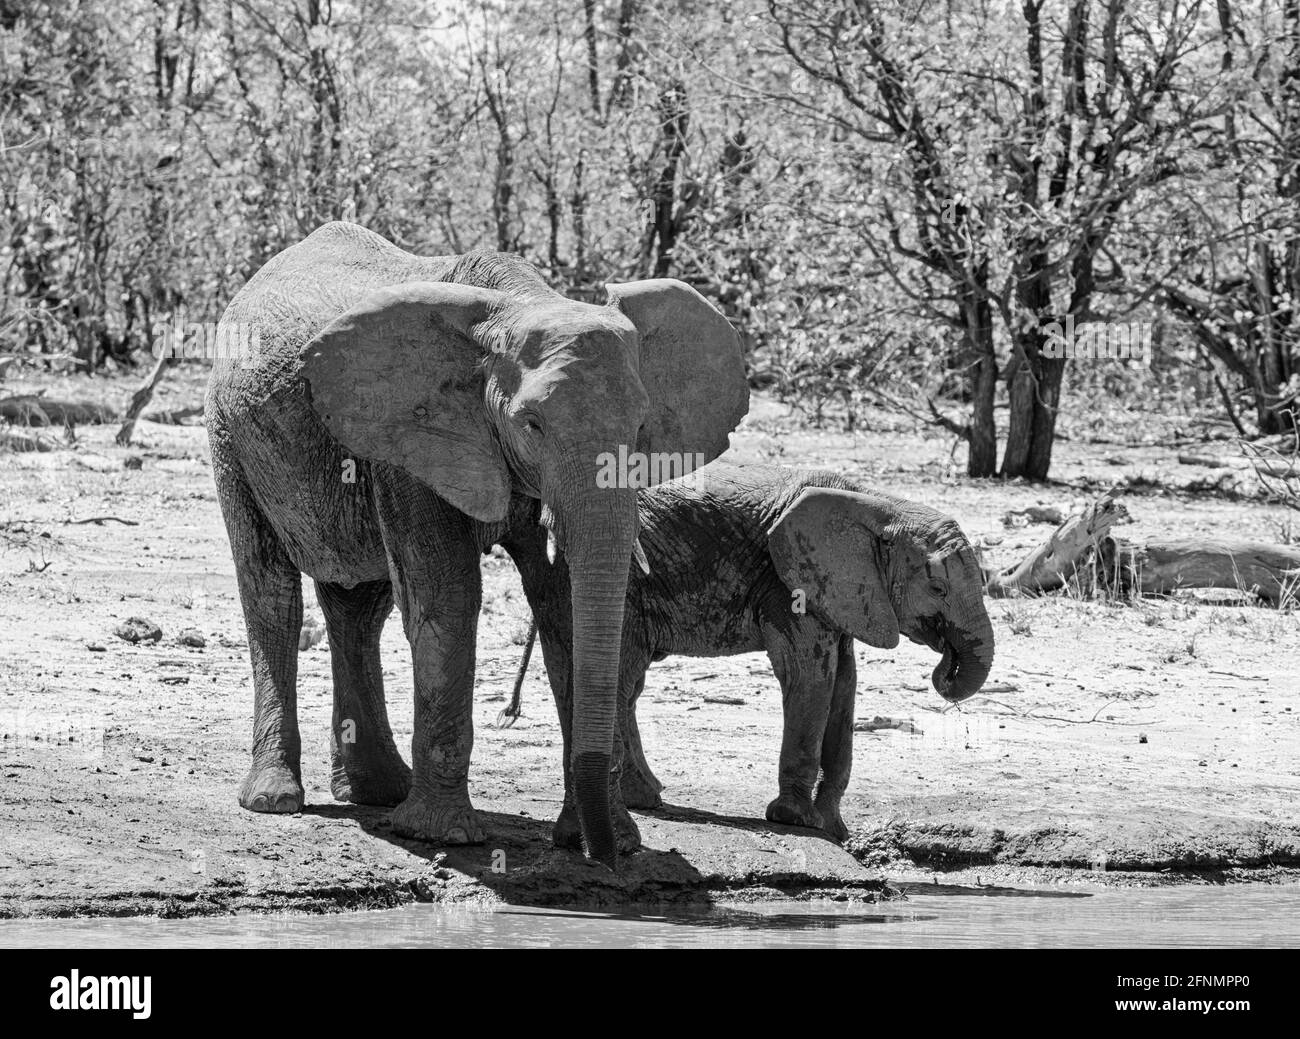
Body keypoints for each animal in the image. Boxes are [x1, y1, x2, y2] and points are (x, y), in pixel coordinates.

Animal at [206, 221, 748, 868]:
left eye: (642, 427)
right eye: (532, 424)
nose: (605, 857)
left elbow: (563, 604)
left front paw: (600, 837)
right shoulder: (411, 439)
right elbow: (447, 595)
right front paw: (440, 836)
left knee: (359, 605)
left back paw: (378, 791)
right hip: (229, 434)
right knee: (270, 593)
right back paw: (275, 799)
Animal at [499, 462, 993, 842]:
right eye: (937, 588)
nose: (945, 669)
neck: (879, 505)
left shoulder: (841, 590)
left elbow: (844, 682)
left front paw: (834, 829)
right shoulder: (786, 581)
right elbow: (808, 674)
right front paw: (797, 820)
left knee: (625, 684)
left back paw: (648, 796)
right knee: (620, 678)